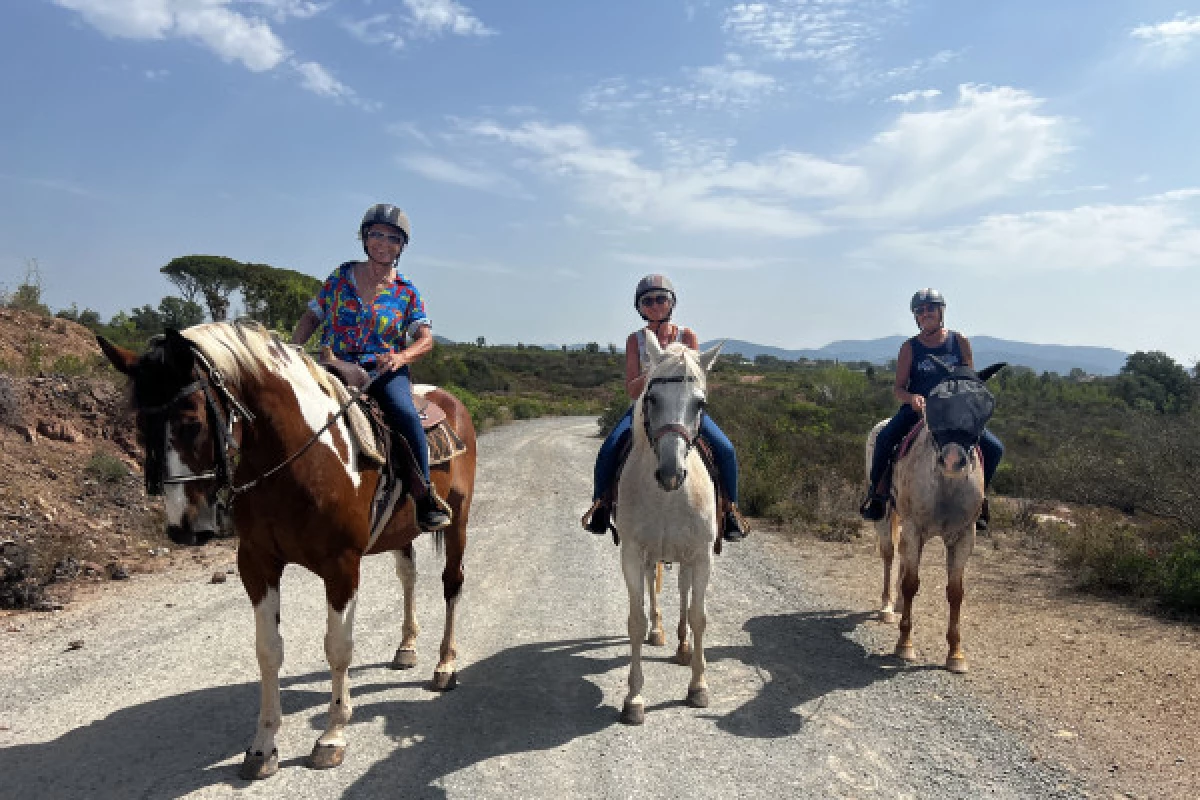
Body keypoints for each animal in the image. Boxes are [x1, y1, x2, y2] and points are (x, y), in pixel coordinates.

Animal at [98, 321, 475, 782]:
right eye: (140, 426)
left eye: (190, 423)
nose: (183, 528)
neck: (300, 458)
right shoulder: (257, 563)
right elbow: (268, 650)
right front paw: (262, 747)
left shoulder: (341, 566)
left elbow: (337, 647)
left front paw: (331, 736)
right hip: (400, 532)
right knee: (408, 576)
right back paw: (406, 648)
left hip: (458, 519)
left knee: (451, 583)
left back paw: (445, 665)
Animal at [619, 335, 720, 724]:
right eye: (651, 398)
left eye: (699, 403)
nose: (670, 473)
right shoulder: (633, 553)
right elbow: (635, 619)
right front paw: (634, 698)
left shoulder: (702, 555)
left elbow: (698, 615)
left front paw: (699, 687)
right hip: (653, 557)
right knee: (655, 588)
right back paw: (660, 631)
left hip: (688, 557)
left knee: (684, 592)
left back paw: (682, 646)